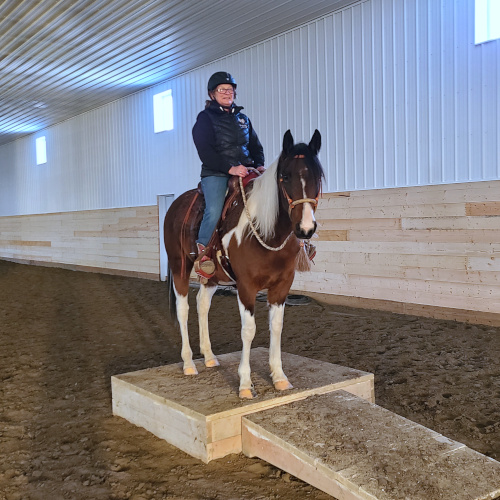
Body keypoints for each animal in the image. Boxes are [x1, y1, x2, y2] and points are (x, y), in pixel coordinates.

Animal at [162, 129, 322, 398]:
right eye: (285, 176)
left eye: (318, 176)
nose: (306, 228)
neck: (264, 231)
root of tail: (175, 204)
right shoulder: (246, 286)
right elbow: (249, 330)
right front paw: (246, 384)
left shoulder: (282, 286)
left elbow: (276, 326)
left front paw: (279, 377)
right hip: (179, 266)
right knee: (183, 308)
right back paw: (189, 363)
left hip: (212, 276)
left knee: (202, 304)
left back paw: (209, 356)